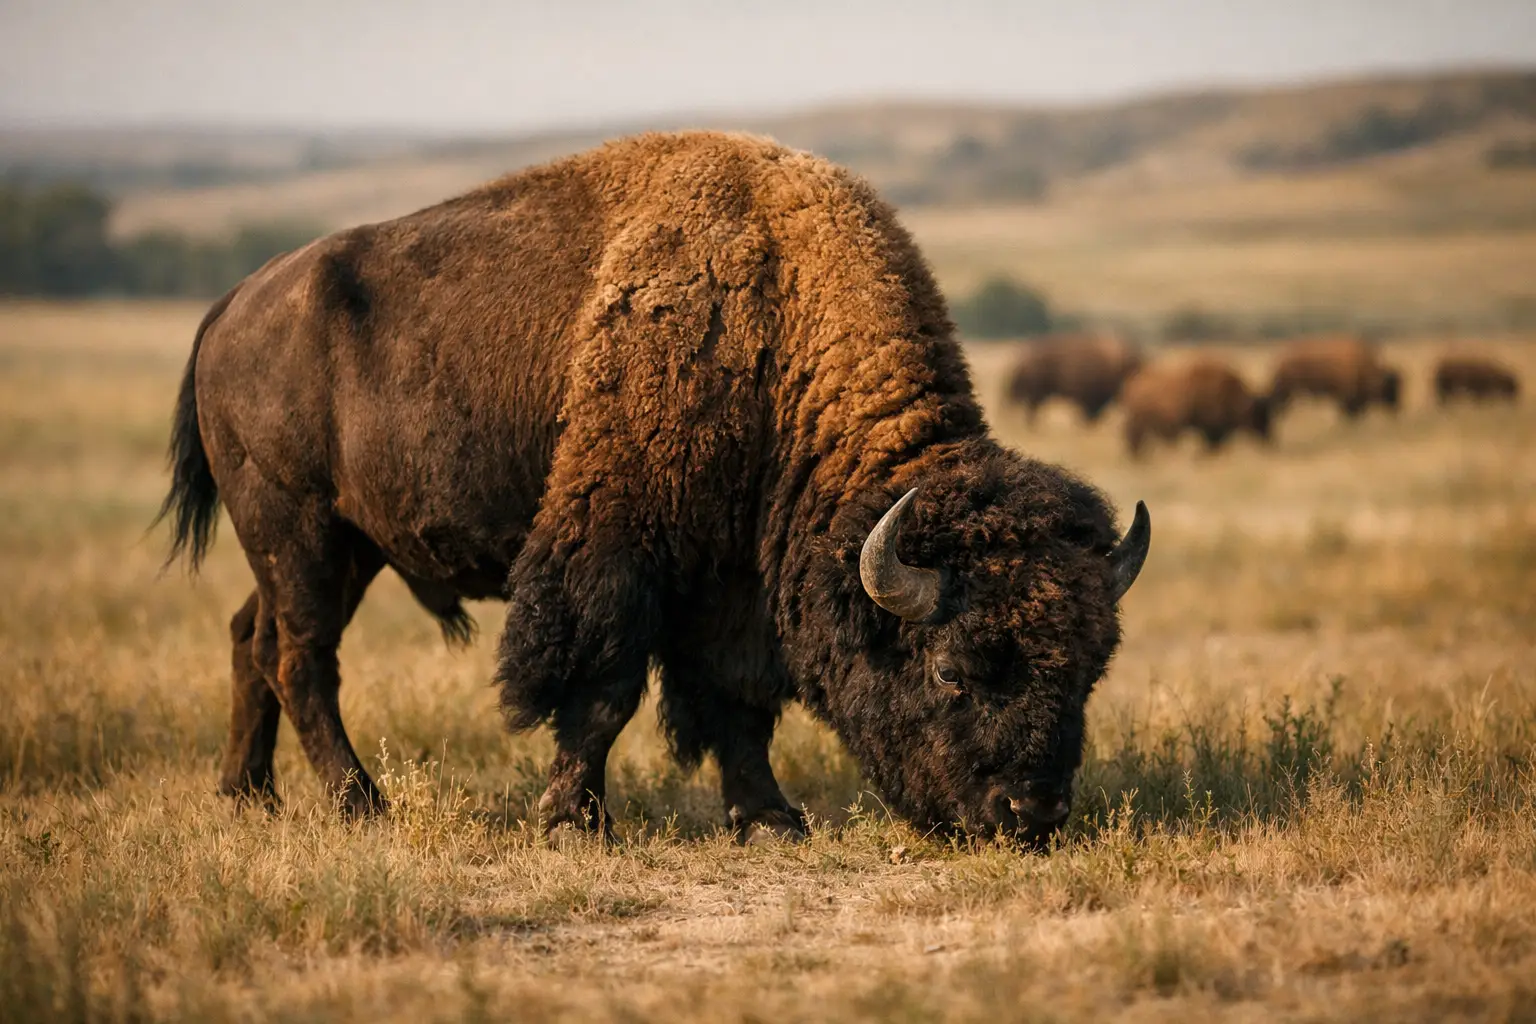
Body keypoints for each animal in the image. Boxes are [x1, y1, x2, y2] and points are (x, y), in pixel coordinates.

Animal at [1120, 358, 1272, 457]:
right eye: (1256, 416)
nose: (1267, 437)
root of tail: (1133, 383)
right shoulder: (1210, 427)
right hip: (1141, 421)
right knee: (1133, 434)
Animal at [1268, 334, 1400, 418]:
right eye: (1389, 387)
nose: (1396, 406)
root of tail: (1280, 358)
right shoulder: (1345, 392)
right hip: (1286, 389)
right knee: (1280, 403)